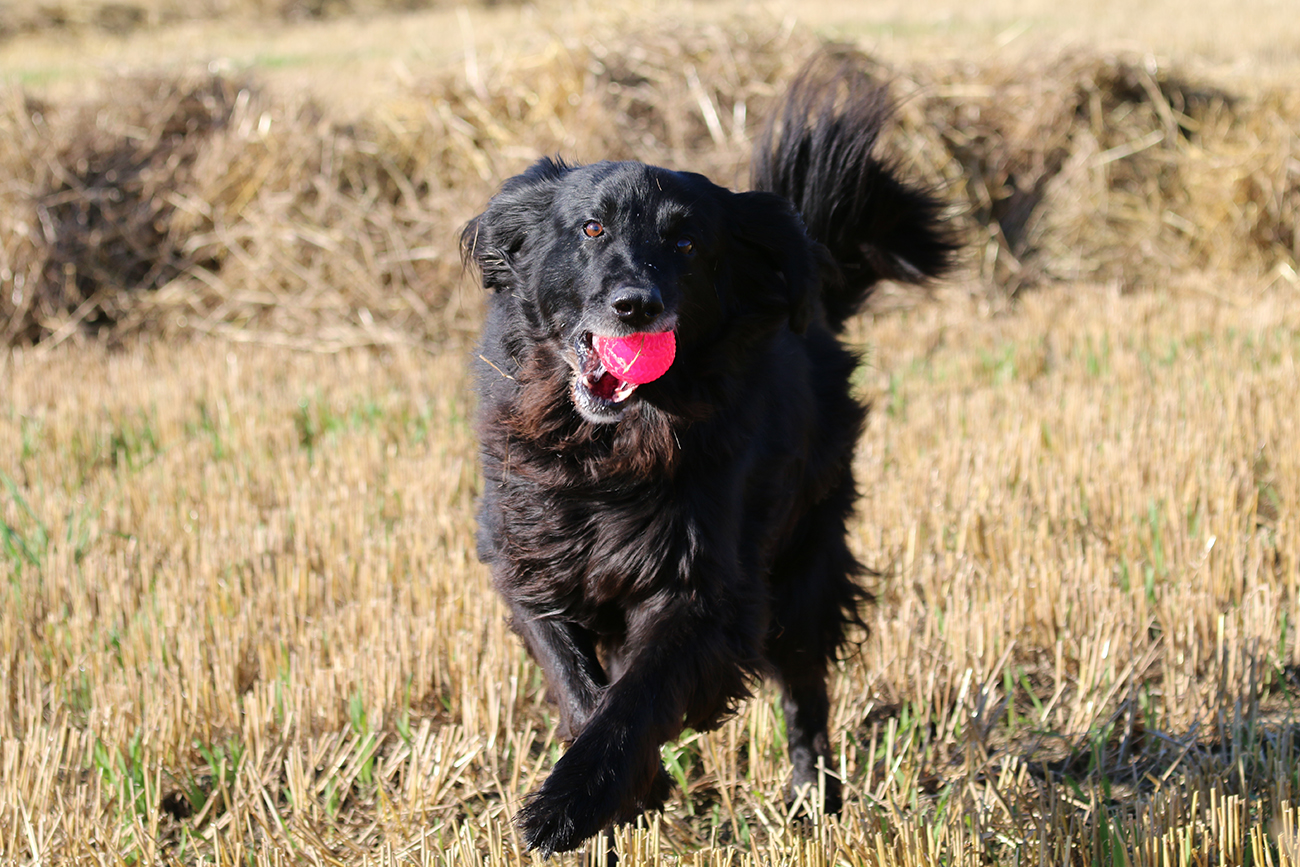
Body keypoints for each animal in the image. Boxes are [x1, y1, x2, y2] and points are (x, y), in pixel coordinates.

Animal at [461, 49, 955, 855]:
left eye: (686, 245)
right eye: (591, 228)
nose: (636, 304)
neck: (610, 450)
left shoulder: (704, 588)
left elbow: (638, 697)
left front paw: (573, 801)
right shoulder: (530, 561)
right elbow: (577, 681)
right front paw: (630, 790)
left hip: (805, 563)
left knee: (806, 692)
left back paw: (814, 800)